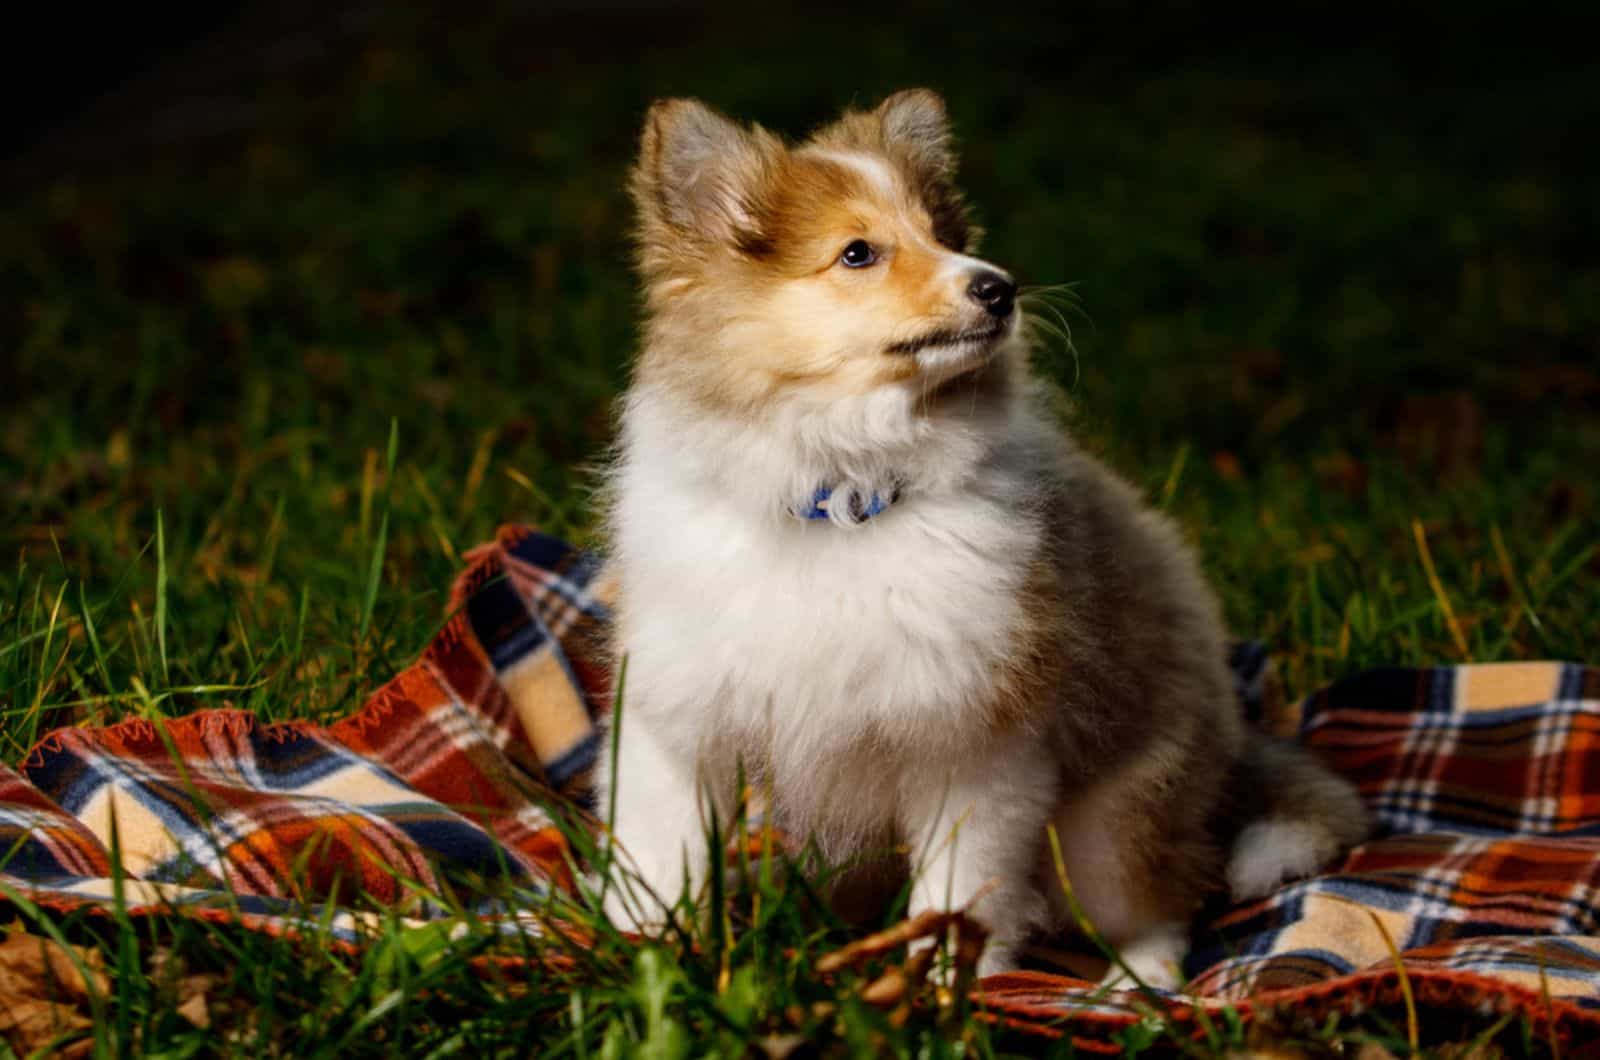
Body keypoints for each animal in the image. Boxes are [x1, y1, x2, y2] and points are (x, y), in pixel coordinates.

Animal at [595, 89, 1369, 986]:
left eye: (946, 235)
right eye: (858, 253)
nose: (1001, 288)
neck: (842, 494)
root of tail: (1238, 737)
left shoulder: (974, 748)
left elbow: (957, 898)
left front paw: (938, 995)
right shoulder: (676, 721)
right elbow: (661, 860)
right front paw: (644, 963)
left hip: (1107, 833)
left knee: (1169, 899)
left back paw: (1132, 985)